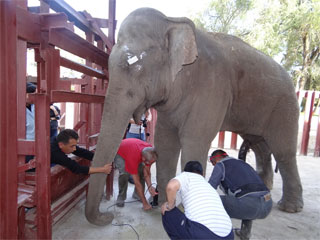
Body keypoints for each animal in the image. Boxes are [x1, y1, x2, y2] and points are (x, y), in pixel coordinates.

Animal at [84, 7, 304, 225]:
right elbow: (165, 142)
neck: (171, 20)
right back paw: (266, 186)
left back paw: (290, 207)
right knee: (260, 145)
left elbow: (194, 140)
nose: (108, 216)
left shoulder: (212, 87)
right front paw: (164, 204)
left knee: (283, 151)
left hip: (286, 105)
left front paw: (184, 209)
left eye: (133, 66)